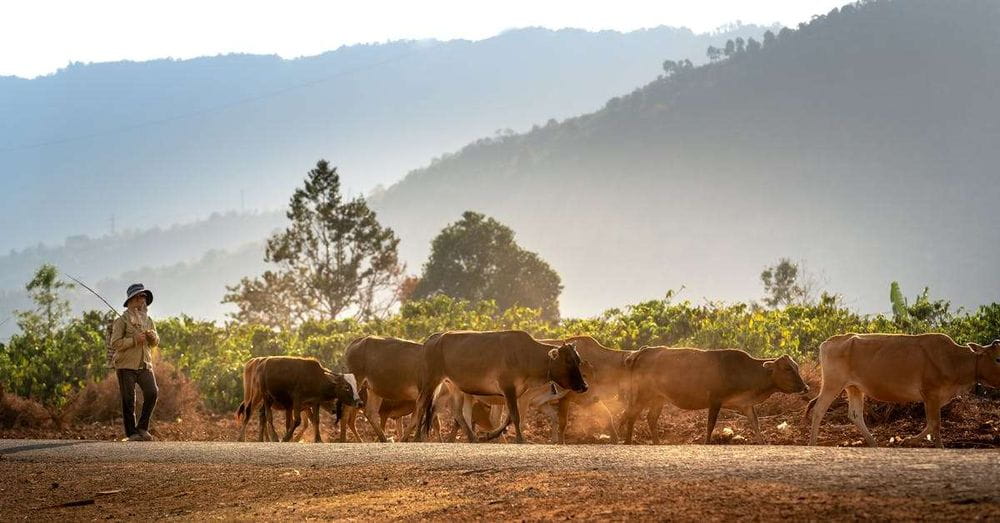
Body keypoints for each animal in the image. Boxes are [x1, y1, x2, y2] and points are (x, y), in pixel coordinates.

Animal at [412, 332, 584, 442]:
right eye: (568, 361)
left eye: (578, 360)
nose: (584, 386)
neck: (527, 356)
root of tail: (433, 338)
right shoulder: (508, 388)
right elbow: (515, 416)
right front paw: (520, 439)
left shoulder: (515, 393)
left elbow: (509, 418)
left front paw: (489, 436)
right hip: (430, 381)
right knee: (421, 405)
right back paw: (416, 437)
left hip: (454, 386)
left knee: (458, 413)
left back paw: (473, 438)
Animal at [620, 346, 808, 444]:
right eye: (787, 368)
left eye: (796, 367)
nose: (805, 387)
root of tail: (644, 351)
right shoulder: (715, 400)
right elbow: (710, 425)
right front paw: (706, 443)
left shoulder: (746, 405)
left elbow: (756, 425)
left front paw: (762, 444)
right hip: (643, 394)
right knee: (629, 415)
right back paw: (626, 441)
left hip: (658, 398)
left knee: (649, 418)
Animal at [804, 334, 1000, 448]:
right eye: (998, 358)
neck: (953, 359)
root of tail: (828, 342)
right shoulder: (931, 394)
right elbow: (934, 424)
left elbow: (933, 425)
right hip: (832, 384)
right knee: (819, 409)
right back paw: (812, 444)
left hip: (854, 388)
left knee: (855, 415)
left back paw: (874, 444)